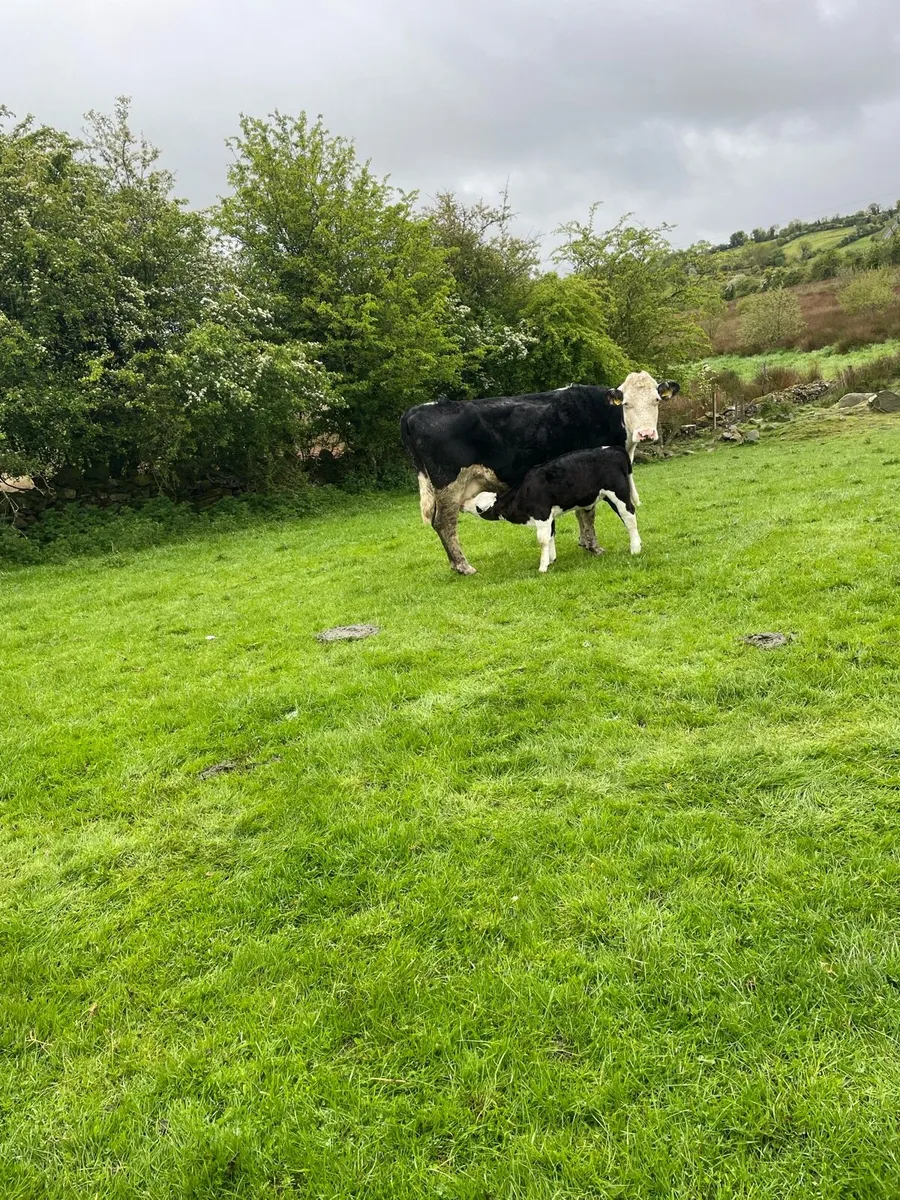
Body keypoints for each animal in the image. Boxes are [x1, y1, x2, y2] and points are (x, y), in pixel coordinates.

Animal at [463, 446, 640, 573]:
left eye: (478, 507)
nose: (463, 503)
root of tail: (614, 449)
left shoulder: (541, 513)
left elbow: (542, 539)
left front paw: (543, 567)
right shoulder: (549, 516)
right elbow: (550, 535)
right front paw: (551, 559)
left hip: (618, 493)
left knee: (629, 517)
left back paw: (635, 548)